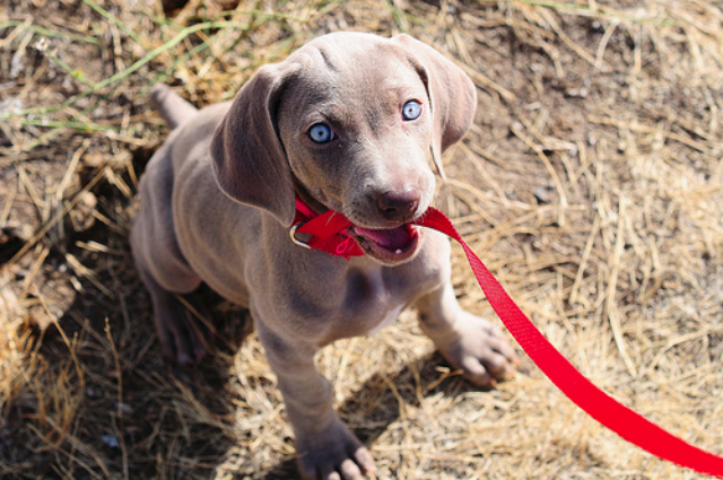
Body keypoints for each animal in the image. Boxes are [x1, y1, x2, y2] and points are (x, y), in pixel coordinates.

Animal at [129, 32, 516, 480]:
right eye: (320, 133)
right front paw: (329, 451)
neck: (361, 262)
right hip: (172, 254)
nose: (400, 200)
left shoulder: (434, 271)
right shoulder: (284, 344)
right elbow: (309, 395)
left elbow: (442, 312)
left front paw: (472, 346)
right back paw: (178, 323)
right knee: (145, 254)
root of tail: (183, 127)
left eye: (411, 109)